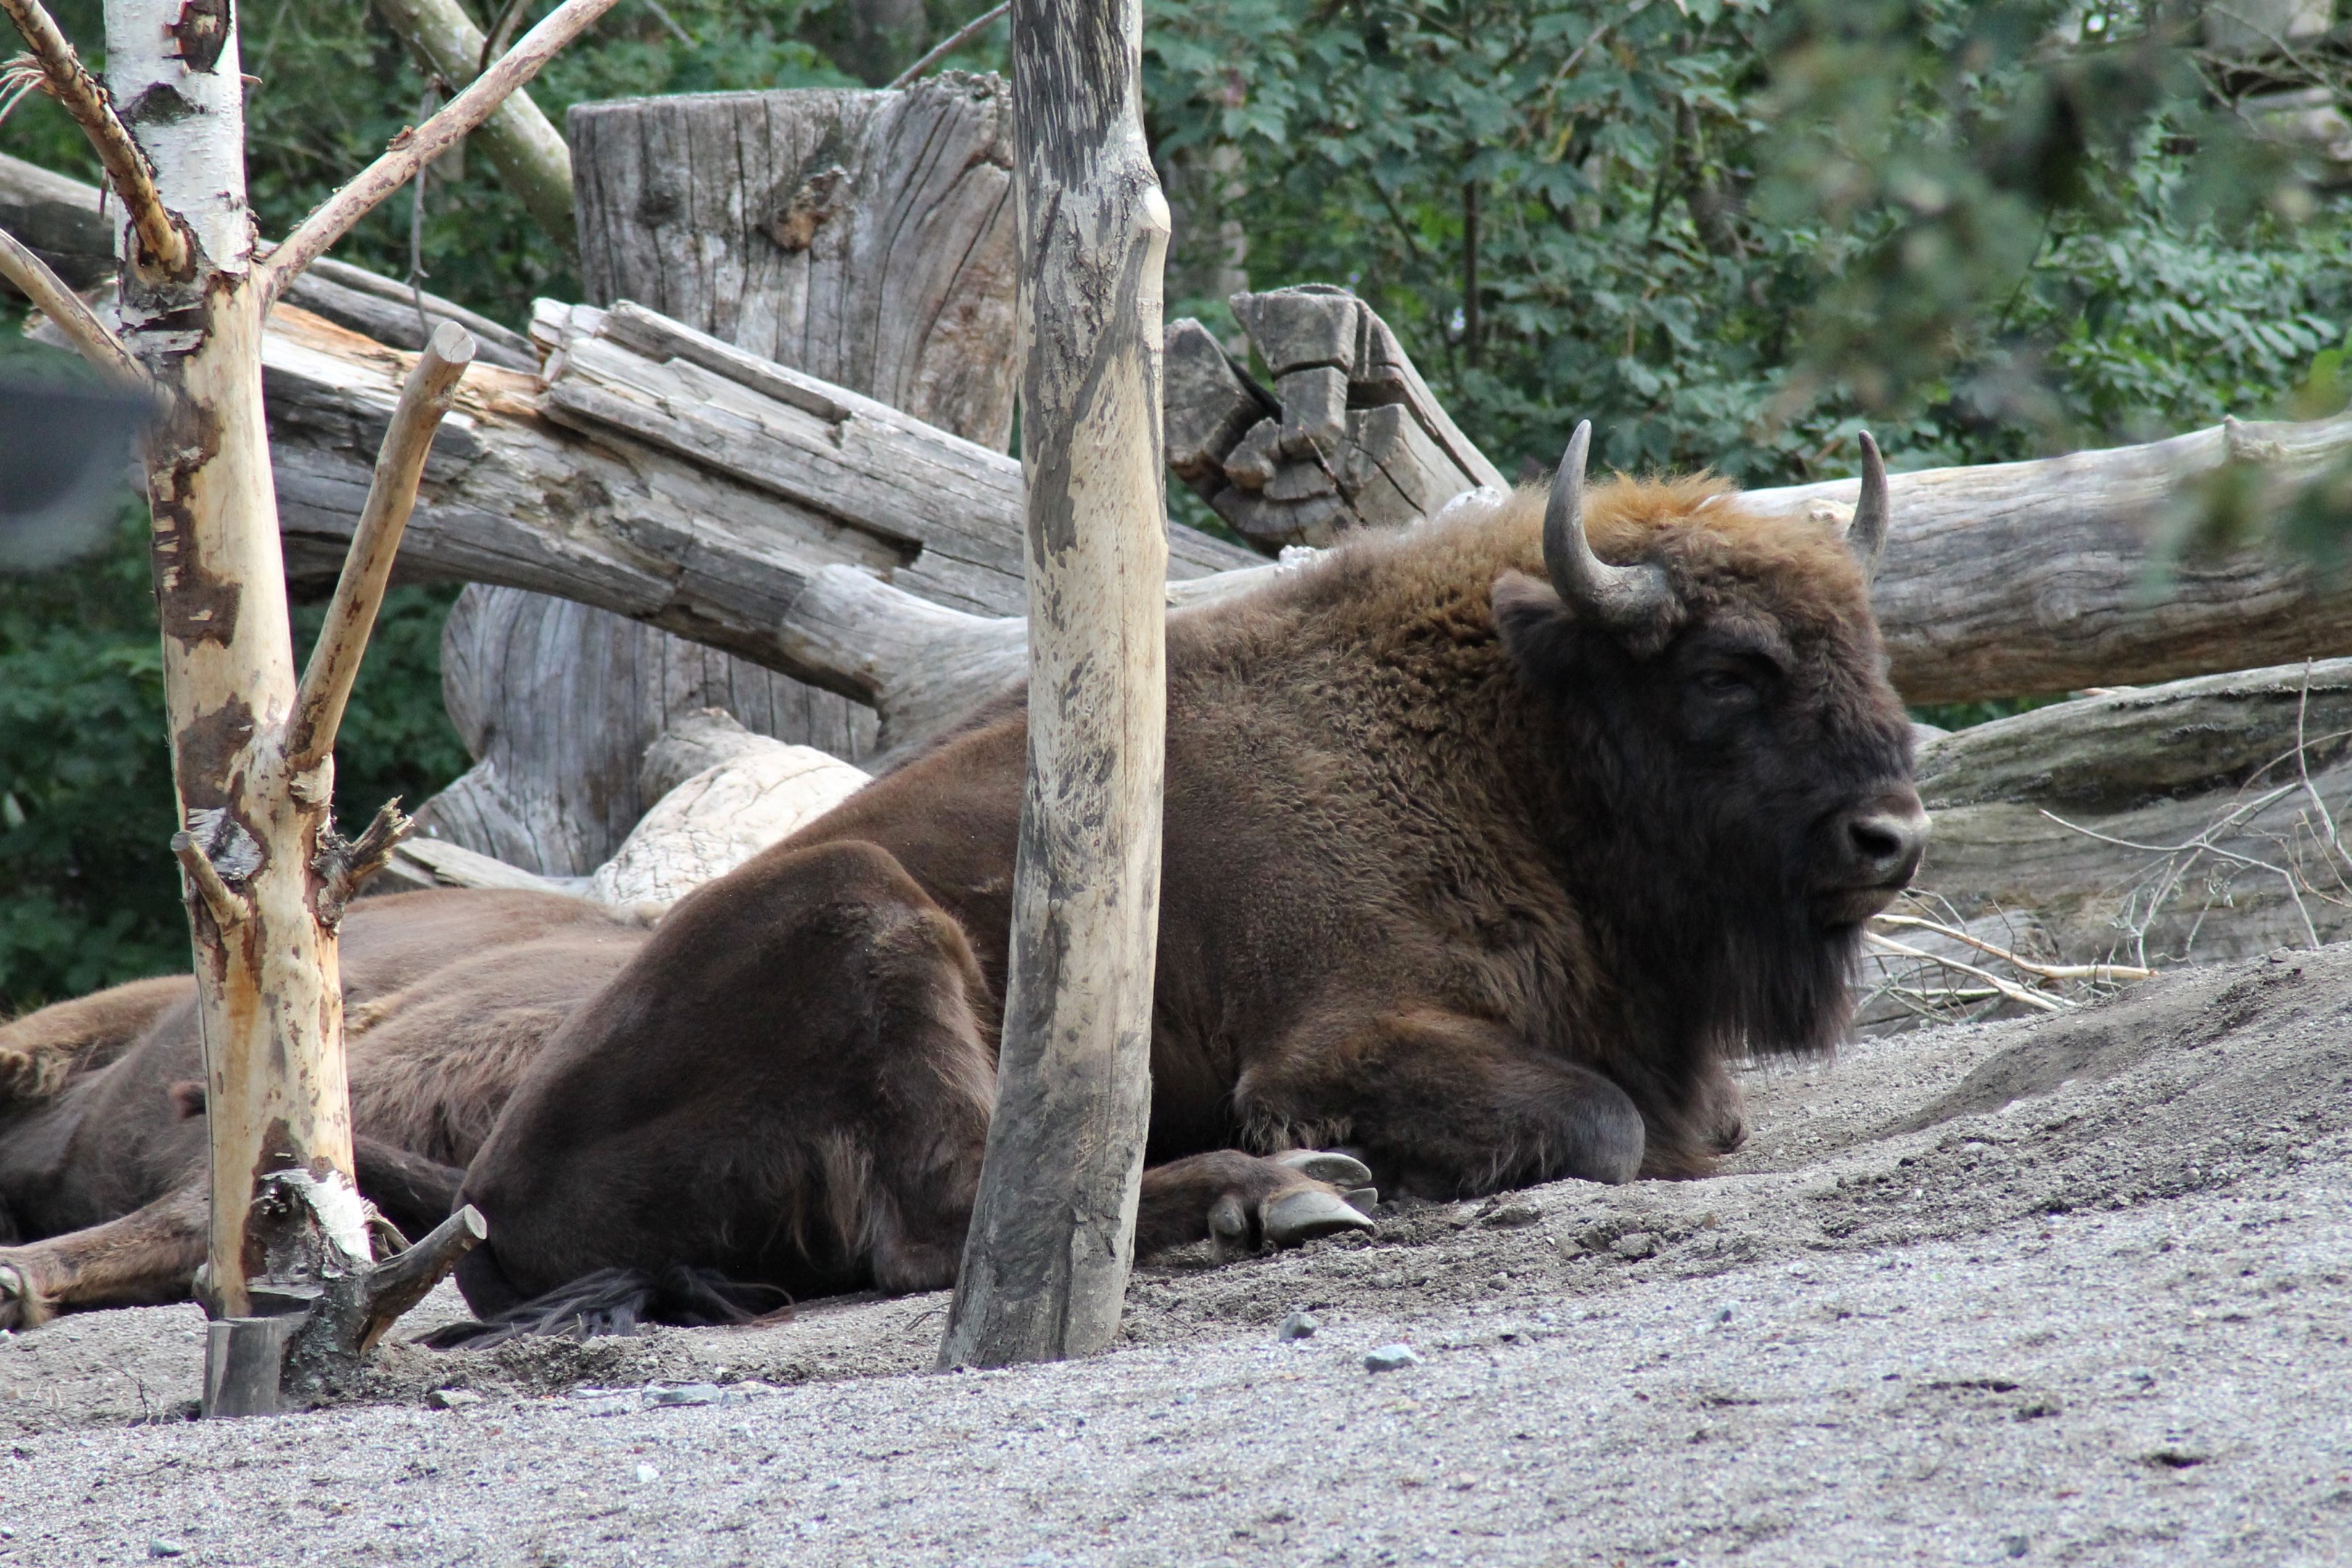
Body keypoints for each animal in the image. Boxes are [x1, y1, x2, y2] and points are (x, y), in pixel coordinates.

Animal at [0, 428, 1925, 1332]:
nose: (1890, 838)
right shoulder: (1340, 1039)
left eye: (1864, 639)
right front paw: (1344, 1167)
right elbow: (1602, 1122)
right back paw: (1283, 1196)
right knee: (952, 1220)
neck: (1501, 726)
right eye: (1728, 668)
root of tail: (501, 1186)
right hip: (866, 920)